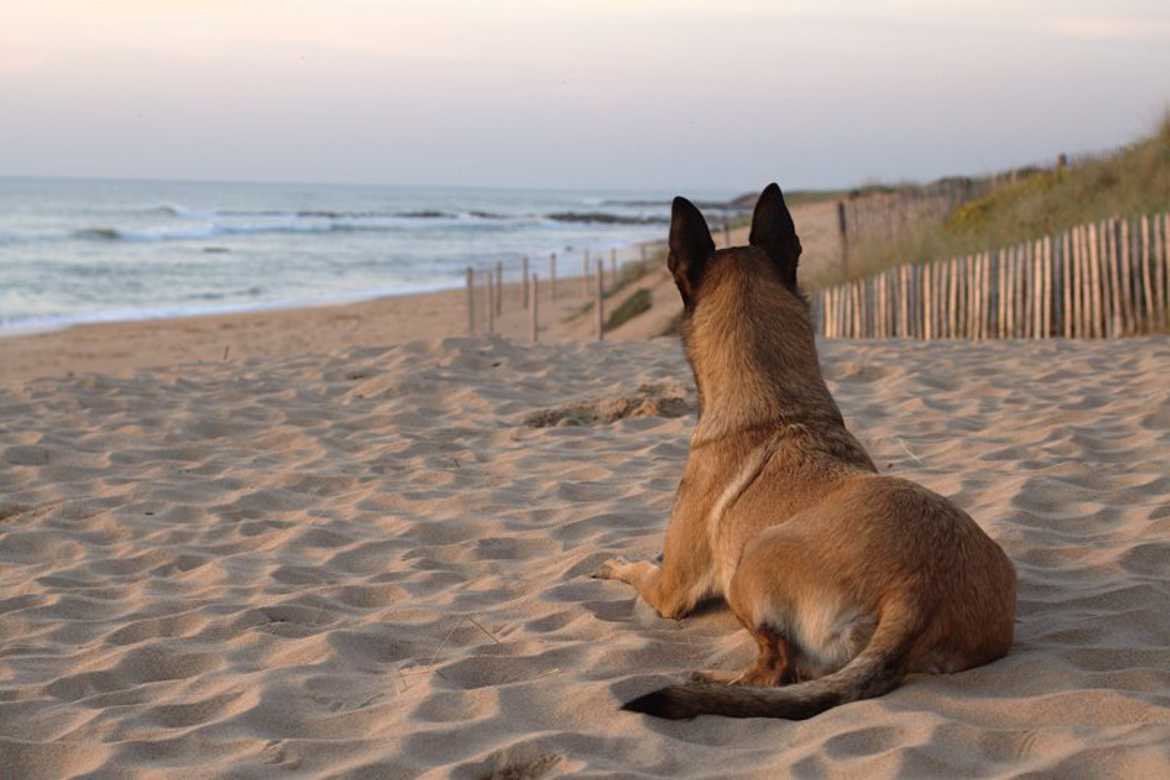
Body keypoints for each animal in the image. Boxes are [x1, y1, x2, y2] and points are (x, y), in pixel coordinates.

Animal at [594, 184, 1015, 720]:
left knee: (777, 669)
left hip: (749, 565)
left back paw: (716, 679)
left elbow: (639, 571)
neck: (776, 404)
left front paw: (613, 564)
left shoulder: (671, 590)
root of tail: (919, 589)